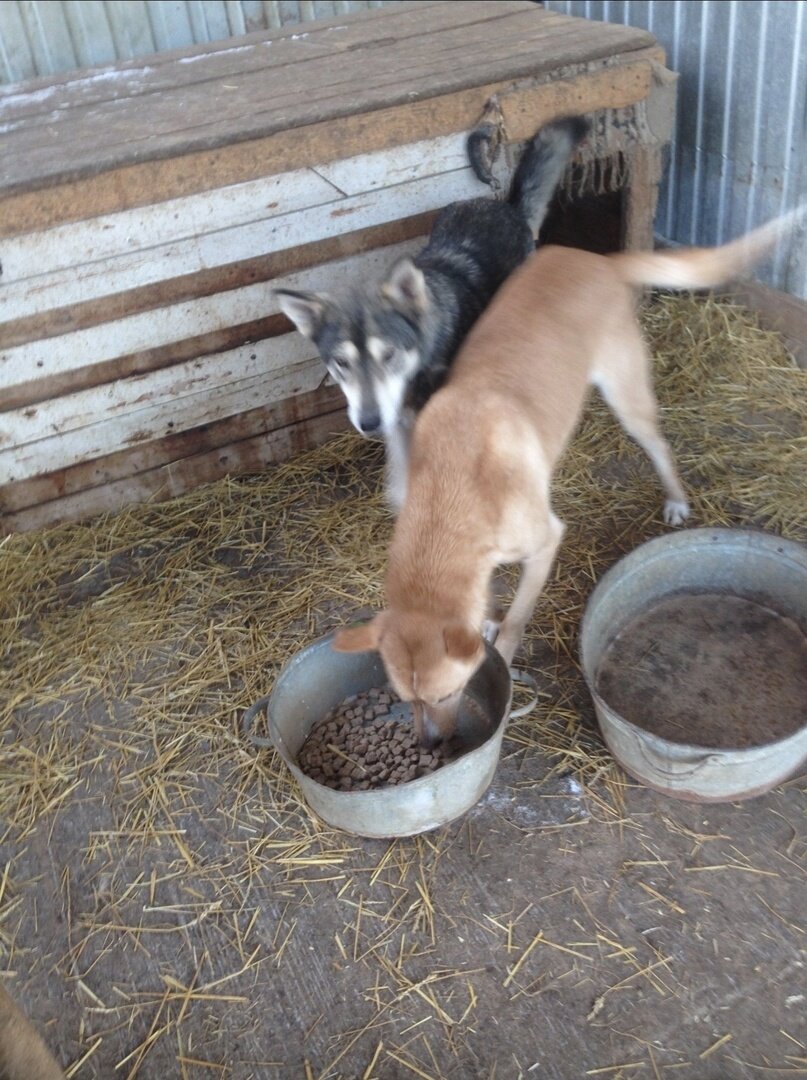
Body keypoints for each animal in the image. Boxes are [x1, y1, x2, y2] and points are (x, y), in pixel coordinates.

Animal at [332, 214, 803, 747]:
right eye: (404, 699)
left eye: (444, 695)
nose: (430, 744)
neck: (452, 493)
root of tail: (597, 260)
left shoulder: (546, 542)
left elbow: (514, 623)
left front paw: (504, 665)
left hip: (627, 395)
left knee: (659, 445)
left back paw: (677, 499)